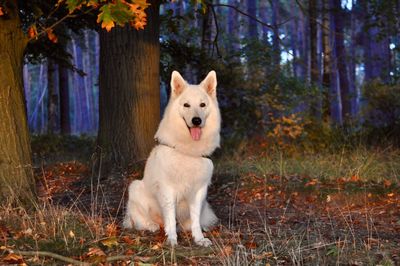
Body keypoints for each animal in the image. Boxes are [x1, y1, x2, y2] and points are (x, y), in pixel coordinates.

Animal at [123, 70, 220, 247]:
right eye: (186, 105)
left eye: (202, 105)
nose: (196, 121)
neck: (188, 152)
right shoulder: (168, 191)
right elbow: (169, 218)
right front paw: (173, 240)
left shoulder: (199, 192)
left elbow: (195, 220)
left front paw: (199, 239)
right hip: (135, 187)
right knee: (138, 220)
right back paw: (152, 225)